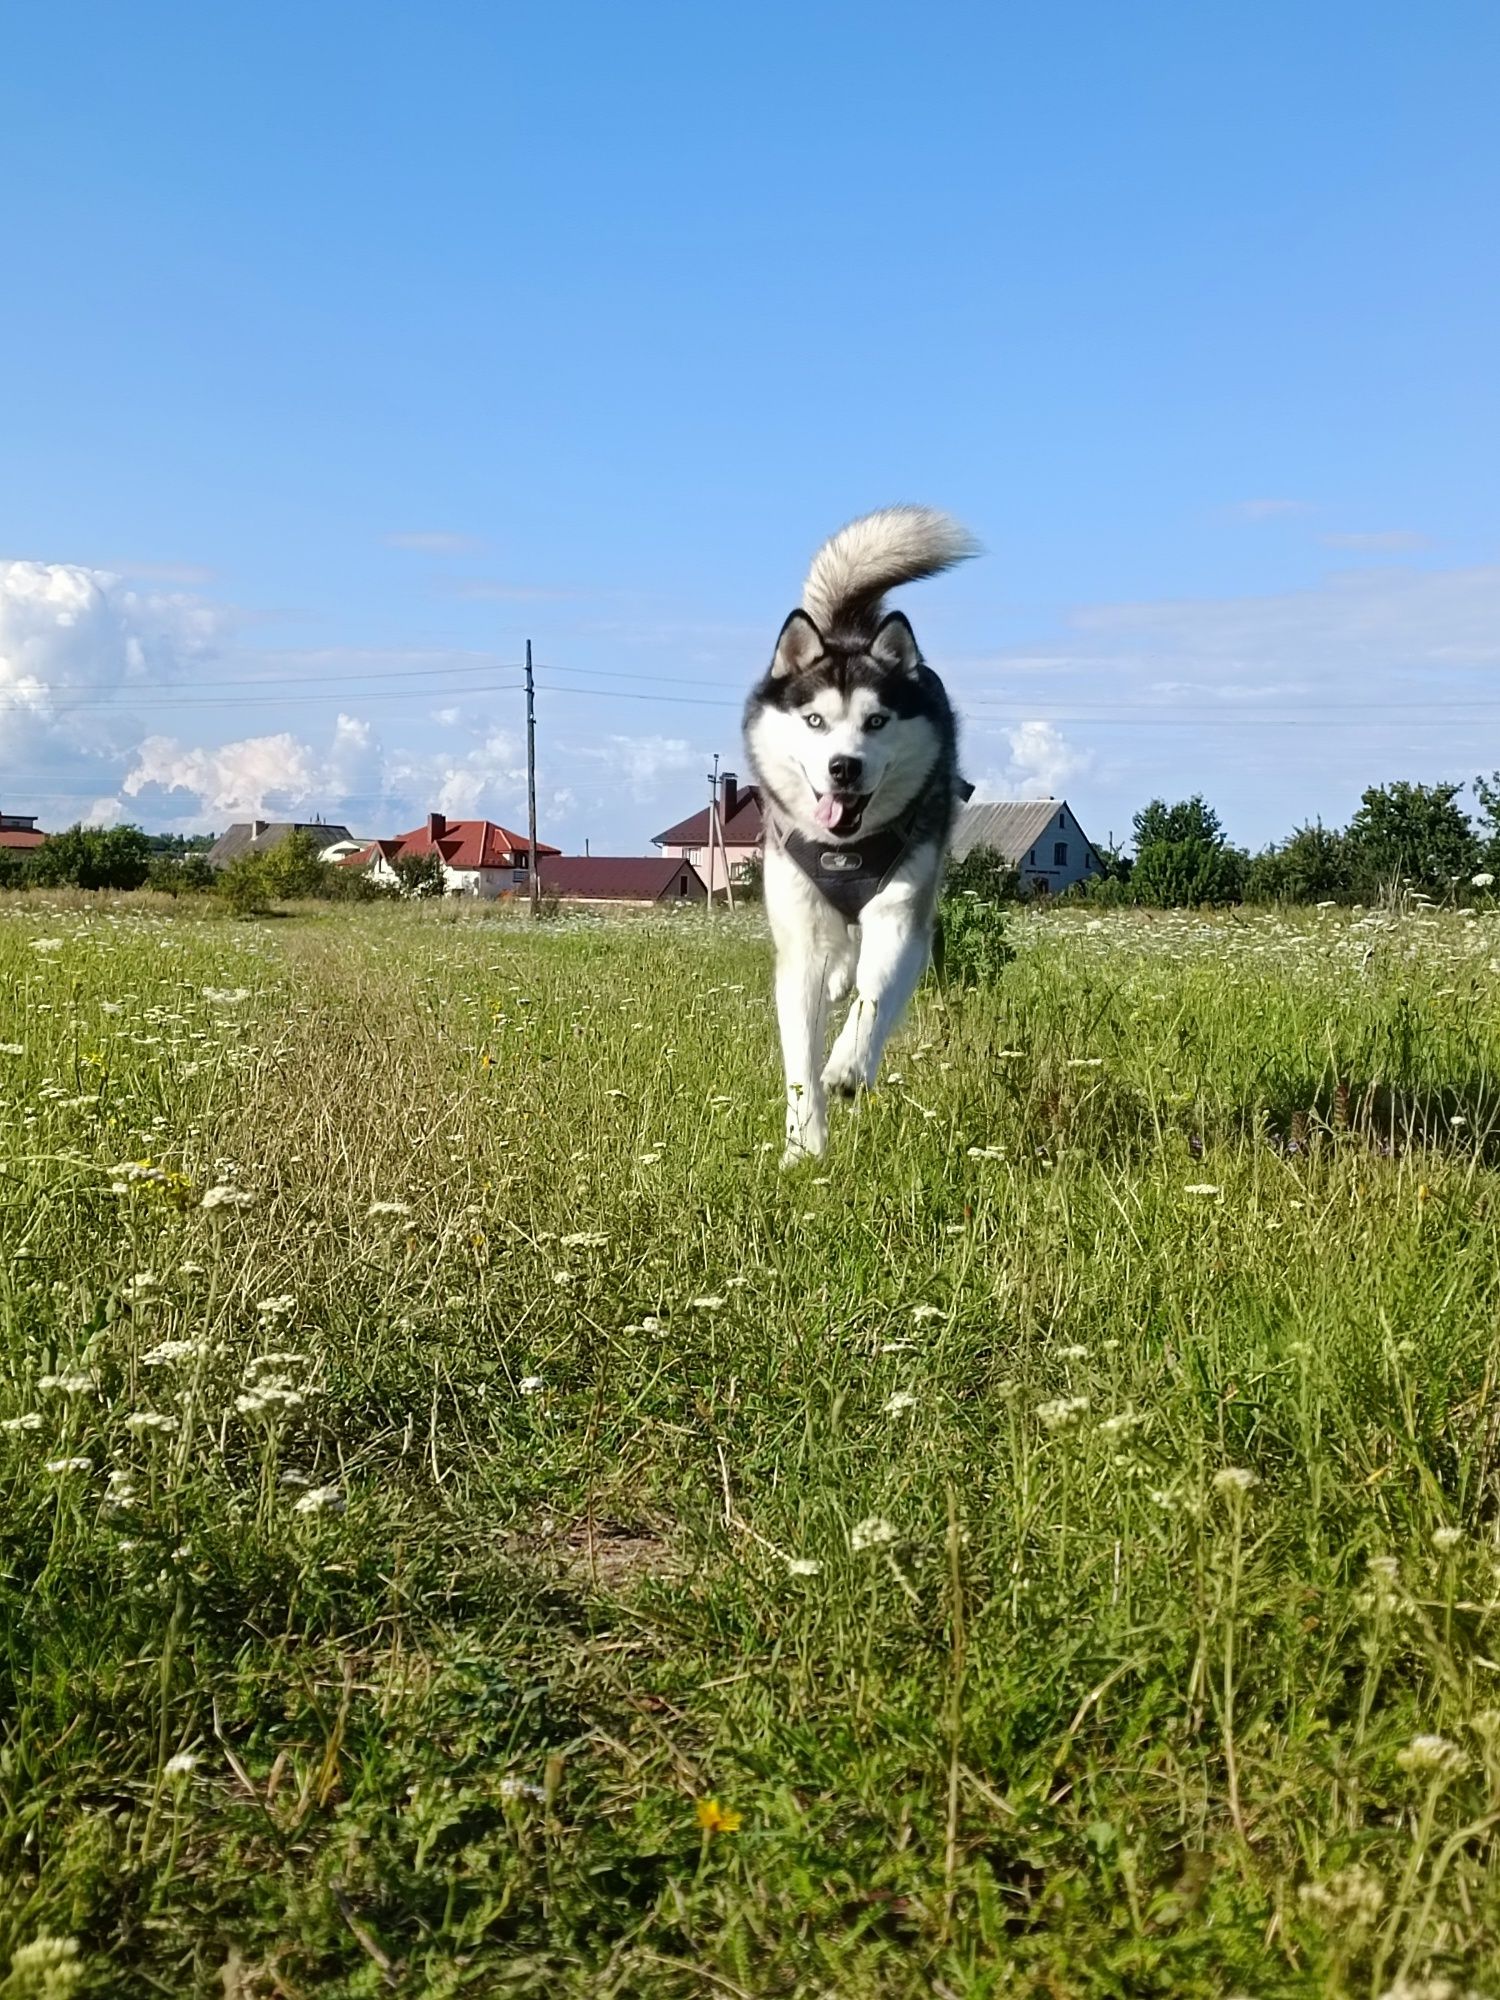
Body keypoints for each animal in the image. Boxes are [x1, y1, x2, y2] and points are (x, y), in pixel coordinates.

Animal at [748, 504, 980, 1160]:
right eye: (814, 720)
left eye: (876, 721)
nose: (844, 767)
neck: (844, 851)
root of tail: (848, 631)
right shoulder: (799, 937)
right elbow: (800, 1054)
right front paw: (804, 1147)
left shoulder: (902, 918)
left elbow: (873, 999)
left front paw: (848, 1067)